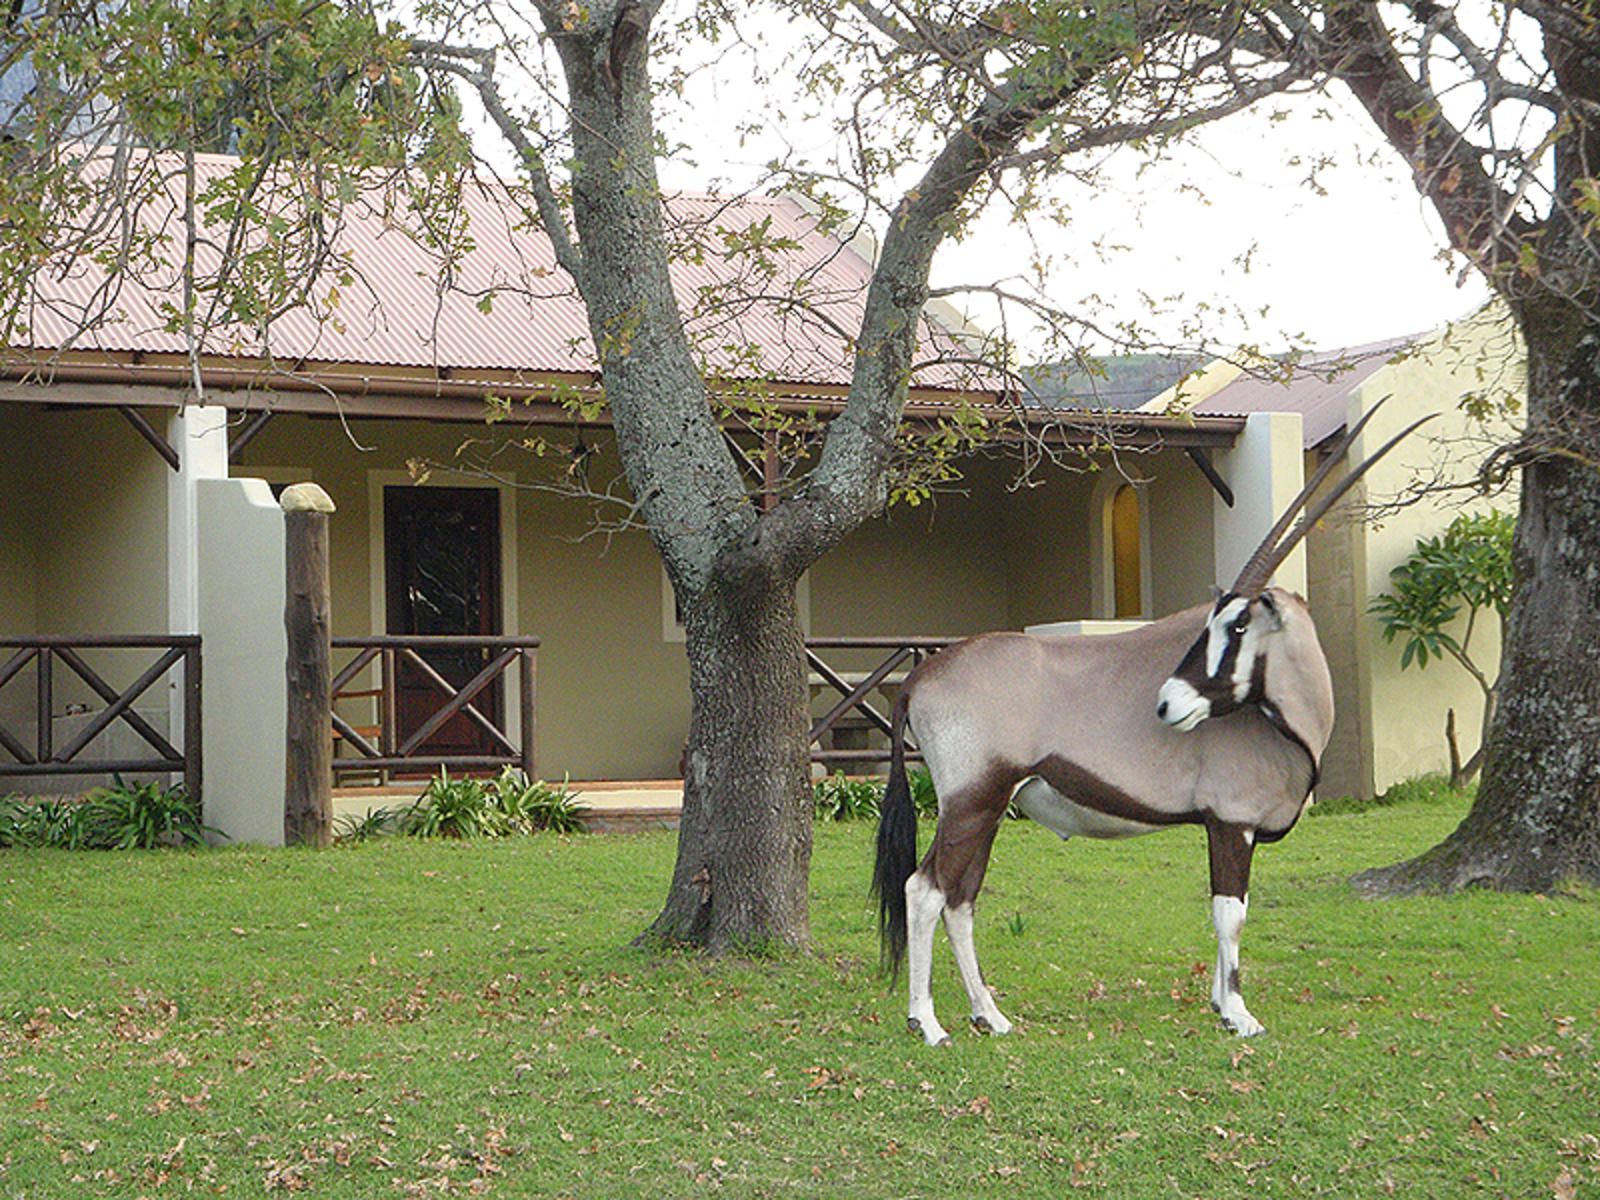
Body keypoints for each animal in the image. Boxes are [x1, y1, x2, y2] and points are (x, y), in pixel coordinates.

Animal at [883, 409, 1433, 1049]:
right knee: (925, 891)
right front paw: (1239, 1014)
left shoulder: (1226, 827)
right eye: (1218, 622)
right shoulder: (1232, 822)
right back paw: (927, 1022)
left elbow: (1228, 907)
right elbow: (1231, 910)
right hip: (973, 802)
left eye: (1238, 625)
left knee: (960, 900)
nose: (1168, 705)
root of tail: (920, 677)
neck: (1287, 720)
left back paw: (989, 1016)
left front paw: (1220, 1002)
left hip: (989, 809)